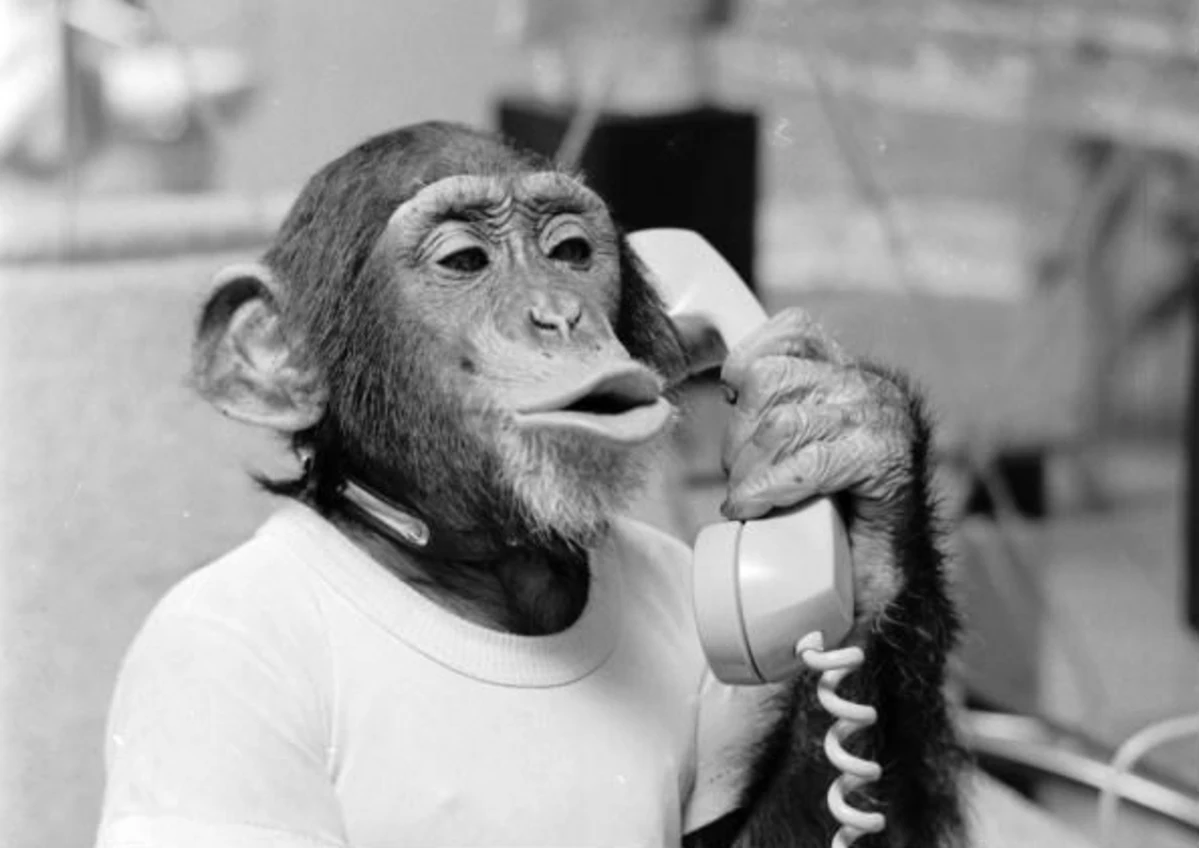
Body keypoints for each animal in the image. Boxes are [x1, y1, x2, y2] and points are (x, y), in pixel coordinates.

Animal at [95, 121, 966, 848]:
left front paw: (840, 433)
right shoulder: (206, 667)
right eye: (463, 262)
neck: (483, 575)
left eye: (571, 251)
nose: (557, 315)